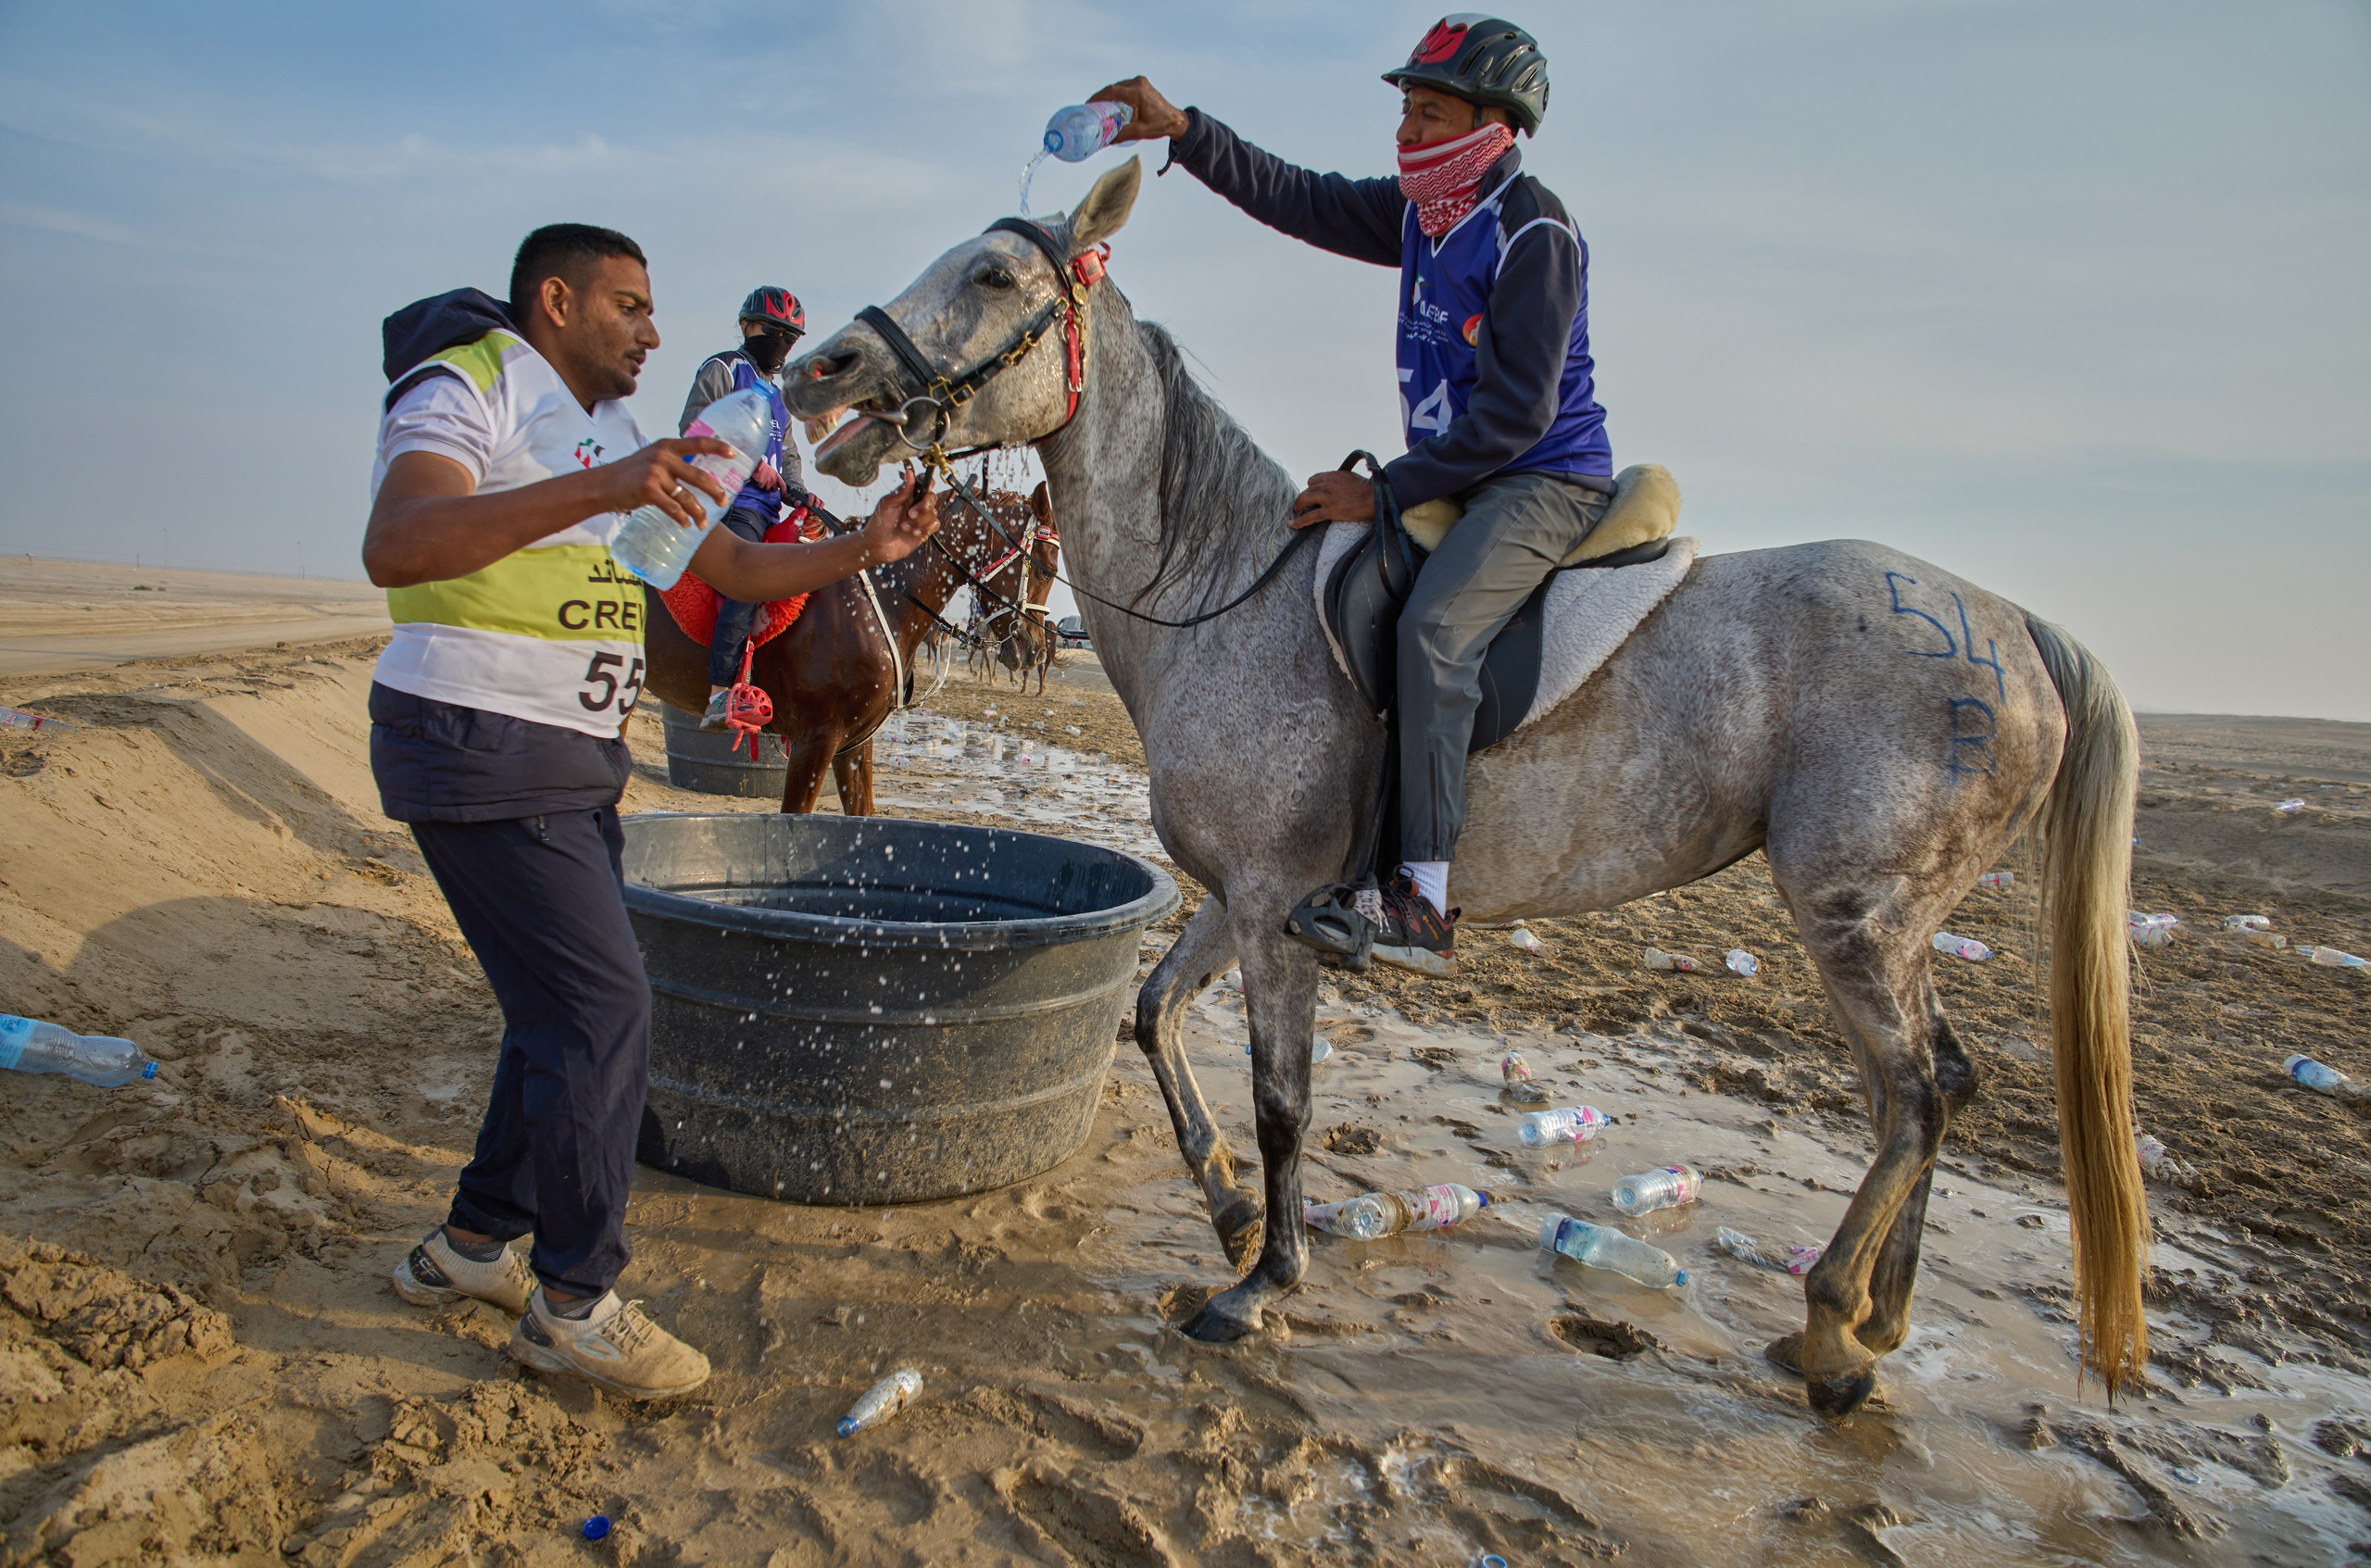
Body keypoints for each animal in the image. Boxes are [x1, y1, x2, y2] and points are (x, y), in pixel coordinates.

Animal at [782, 159, 2147, 1421]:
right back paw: (1879, 1319)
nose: (817, 370)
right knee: (1928, 1088)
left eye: (991, 275)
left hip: (1854, 915)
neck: (1225, 591)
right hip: (1878, 927)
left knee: (1915, 1095)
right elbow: (1155, 1015)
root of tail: (2017, 629)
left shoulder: (1276, 908)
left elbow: (1284, 1101)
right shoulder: (1240, 895)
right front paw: (1227, 1211)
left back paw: (1830, 1328)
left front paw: (1263, 1281)